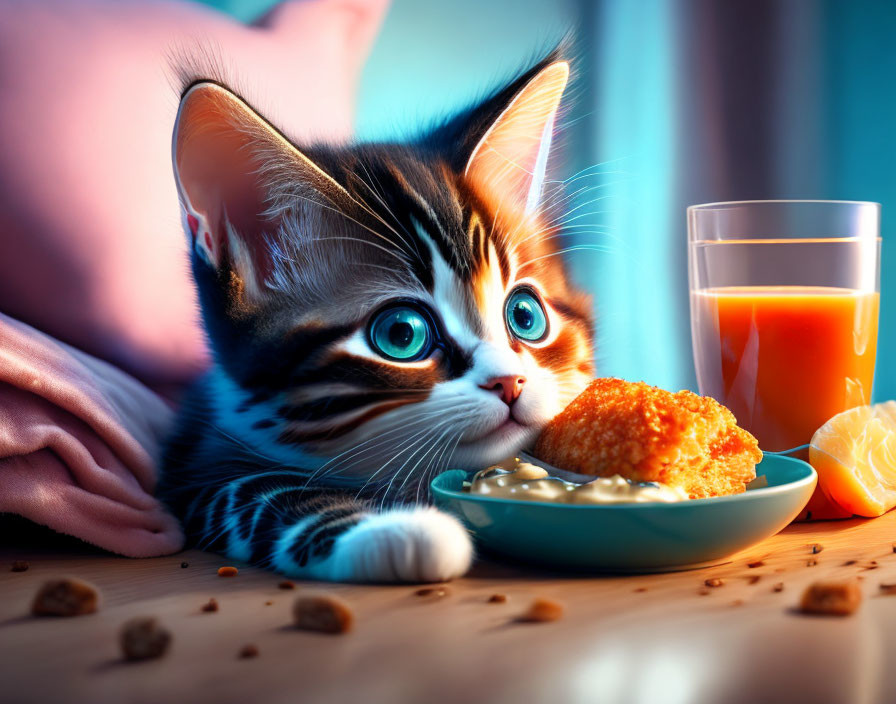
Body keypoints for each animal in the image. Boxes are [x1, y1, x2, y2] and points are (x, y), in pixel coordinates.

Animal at [159, 46, 596, 580]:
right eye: (402, 334)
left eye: (525, 316)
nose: (509, 381)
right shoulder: (194, 464)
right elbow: (255, 490)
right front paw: (401, 531)